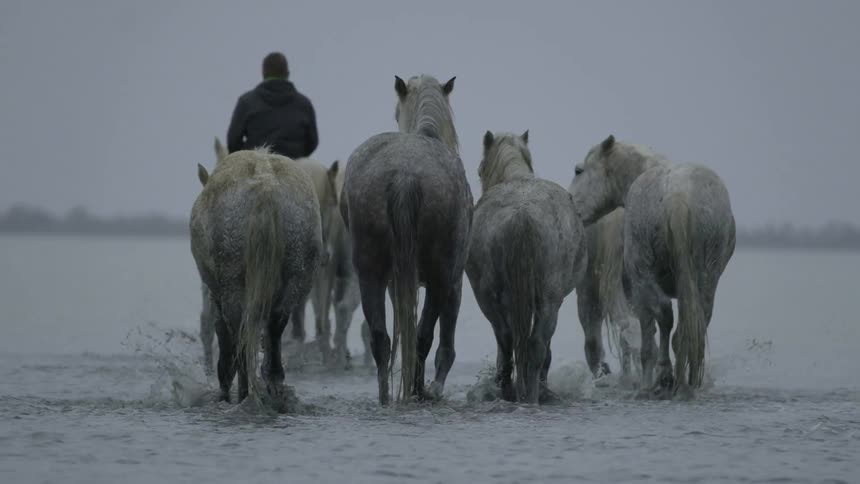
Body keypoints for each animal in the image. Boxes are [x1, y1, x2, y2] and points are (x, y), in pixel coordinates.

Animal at [190, 147, 324, 404]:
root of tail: (266, 186)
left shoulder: (215, 295)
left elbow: (223, 336)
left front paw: (224, 389)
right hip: (296, 275)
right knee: (275, 326)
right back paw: (274, 384)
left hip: (232, 283)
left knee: (240, 335)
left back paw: (243, 392)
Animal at [340, 74, 473, 405]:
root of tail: (404, 174)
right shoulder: (455, 283)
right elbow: (444, 344)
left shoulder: (395, 283)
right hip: (440, 278)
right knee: (424, 337)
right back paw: (417, 391)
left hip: (370, 274)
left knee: (381, 338)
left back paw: (386, 397)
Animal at [465, 130, 587, 403]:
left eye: (479, 170)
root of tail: (522, 216)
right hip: (545, 300)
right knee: (531, 345)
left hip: (495, 300)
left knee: (511, 341)